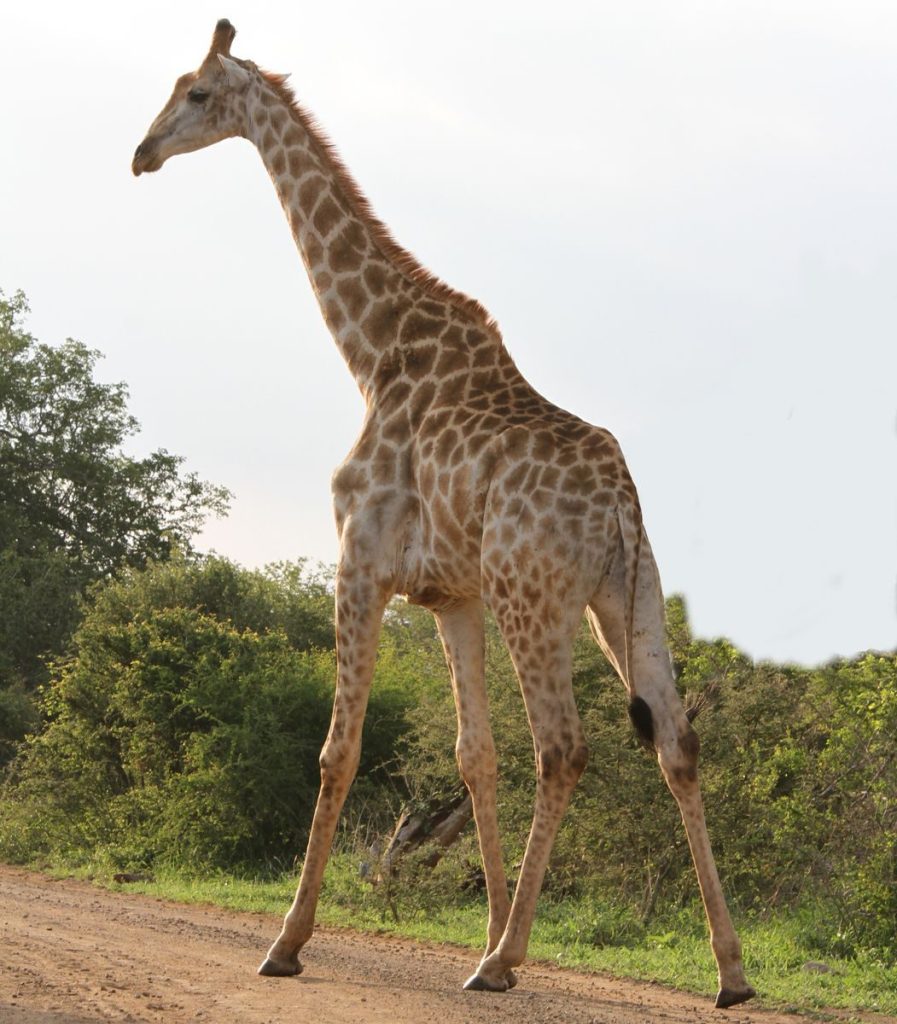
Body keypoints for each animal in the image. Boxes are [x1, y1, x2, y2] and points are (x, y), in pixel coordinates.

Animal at [132, 20, 755, 1008]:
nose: (142, 153)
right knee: (676, 739)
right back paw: (727, 972)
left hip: (532, 596)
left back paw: (498, 964)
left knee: (565, 747)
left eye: (194, 93)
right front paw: (495, 923)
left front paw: (288, 941)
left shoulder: (359, 560)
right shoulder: (450, 597)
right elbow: (473, 756)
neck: (371, 350)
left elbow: (338, 751)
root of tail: (620, 505)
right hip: (627, 596)